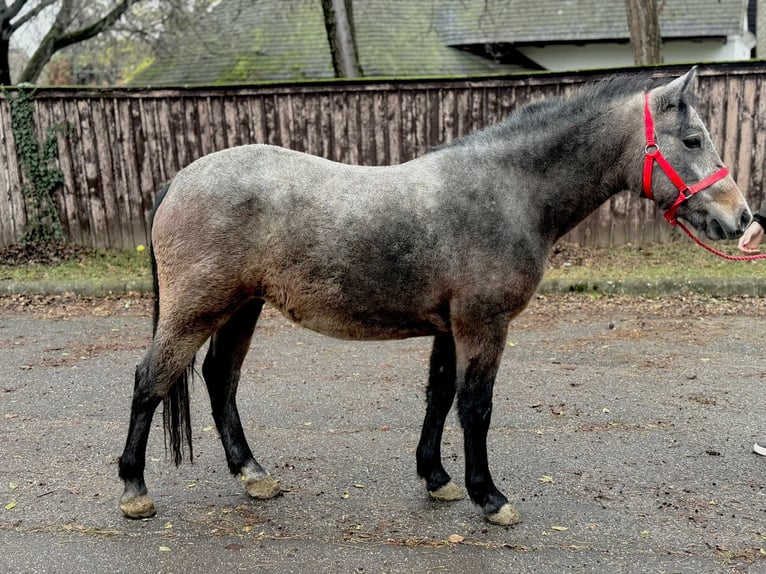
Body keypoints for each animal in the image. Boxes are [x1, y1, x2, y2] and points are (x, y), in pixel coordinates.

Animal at [118, 68, 750, 526]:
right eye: (692, 139)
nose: (741, 218)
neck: (508, 190)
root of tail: (179, 180)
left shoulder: (449, 327)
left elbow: (439, 397)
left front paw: (438, 479)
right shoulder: (481, 324)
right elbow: (475, 407)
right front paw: (489, 498)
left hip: (241, 307)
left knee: (219, 379)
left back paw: (252, 474)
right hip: (196, 308)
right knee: (152, 379)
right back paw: (134, 488)